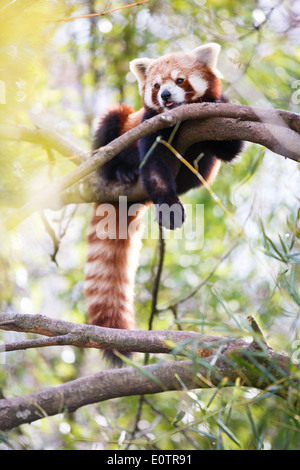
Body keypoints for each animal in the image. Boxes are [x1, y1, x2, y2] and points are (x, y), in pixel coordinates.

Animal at [84, 44, 244, 366]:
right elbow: (154, 167)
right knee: (111, 123)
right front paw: (170, 208)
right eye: (156, 86)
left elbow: (229, 148)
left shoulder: (215, 128)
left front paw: (219, 100)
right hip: (117, 127)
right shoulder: (150, 128)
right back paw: (121, 172)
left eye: (180, 80)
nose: (166, 95)